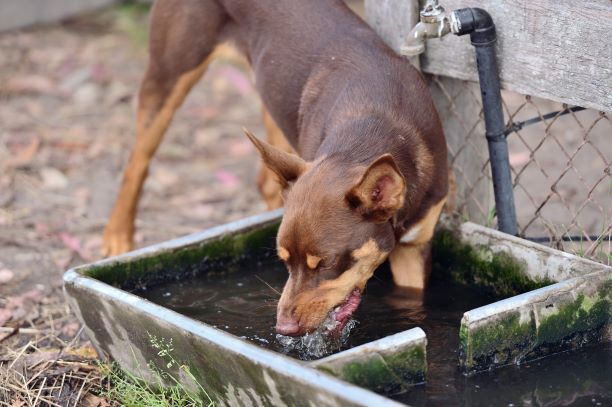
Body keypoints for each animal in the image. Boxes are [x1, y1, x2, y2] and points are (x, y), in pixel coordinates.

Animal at [103, 0, 450, 338]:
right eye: (284, 261)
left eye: (325, 263)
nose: (284, 328)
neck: (374, 126)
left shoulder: (414, 248)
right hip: (170, 72)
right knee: (136, 163)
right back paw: (117, 236)